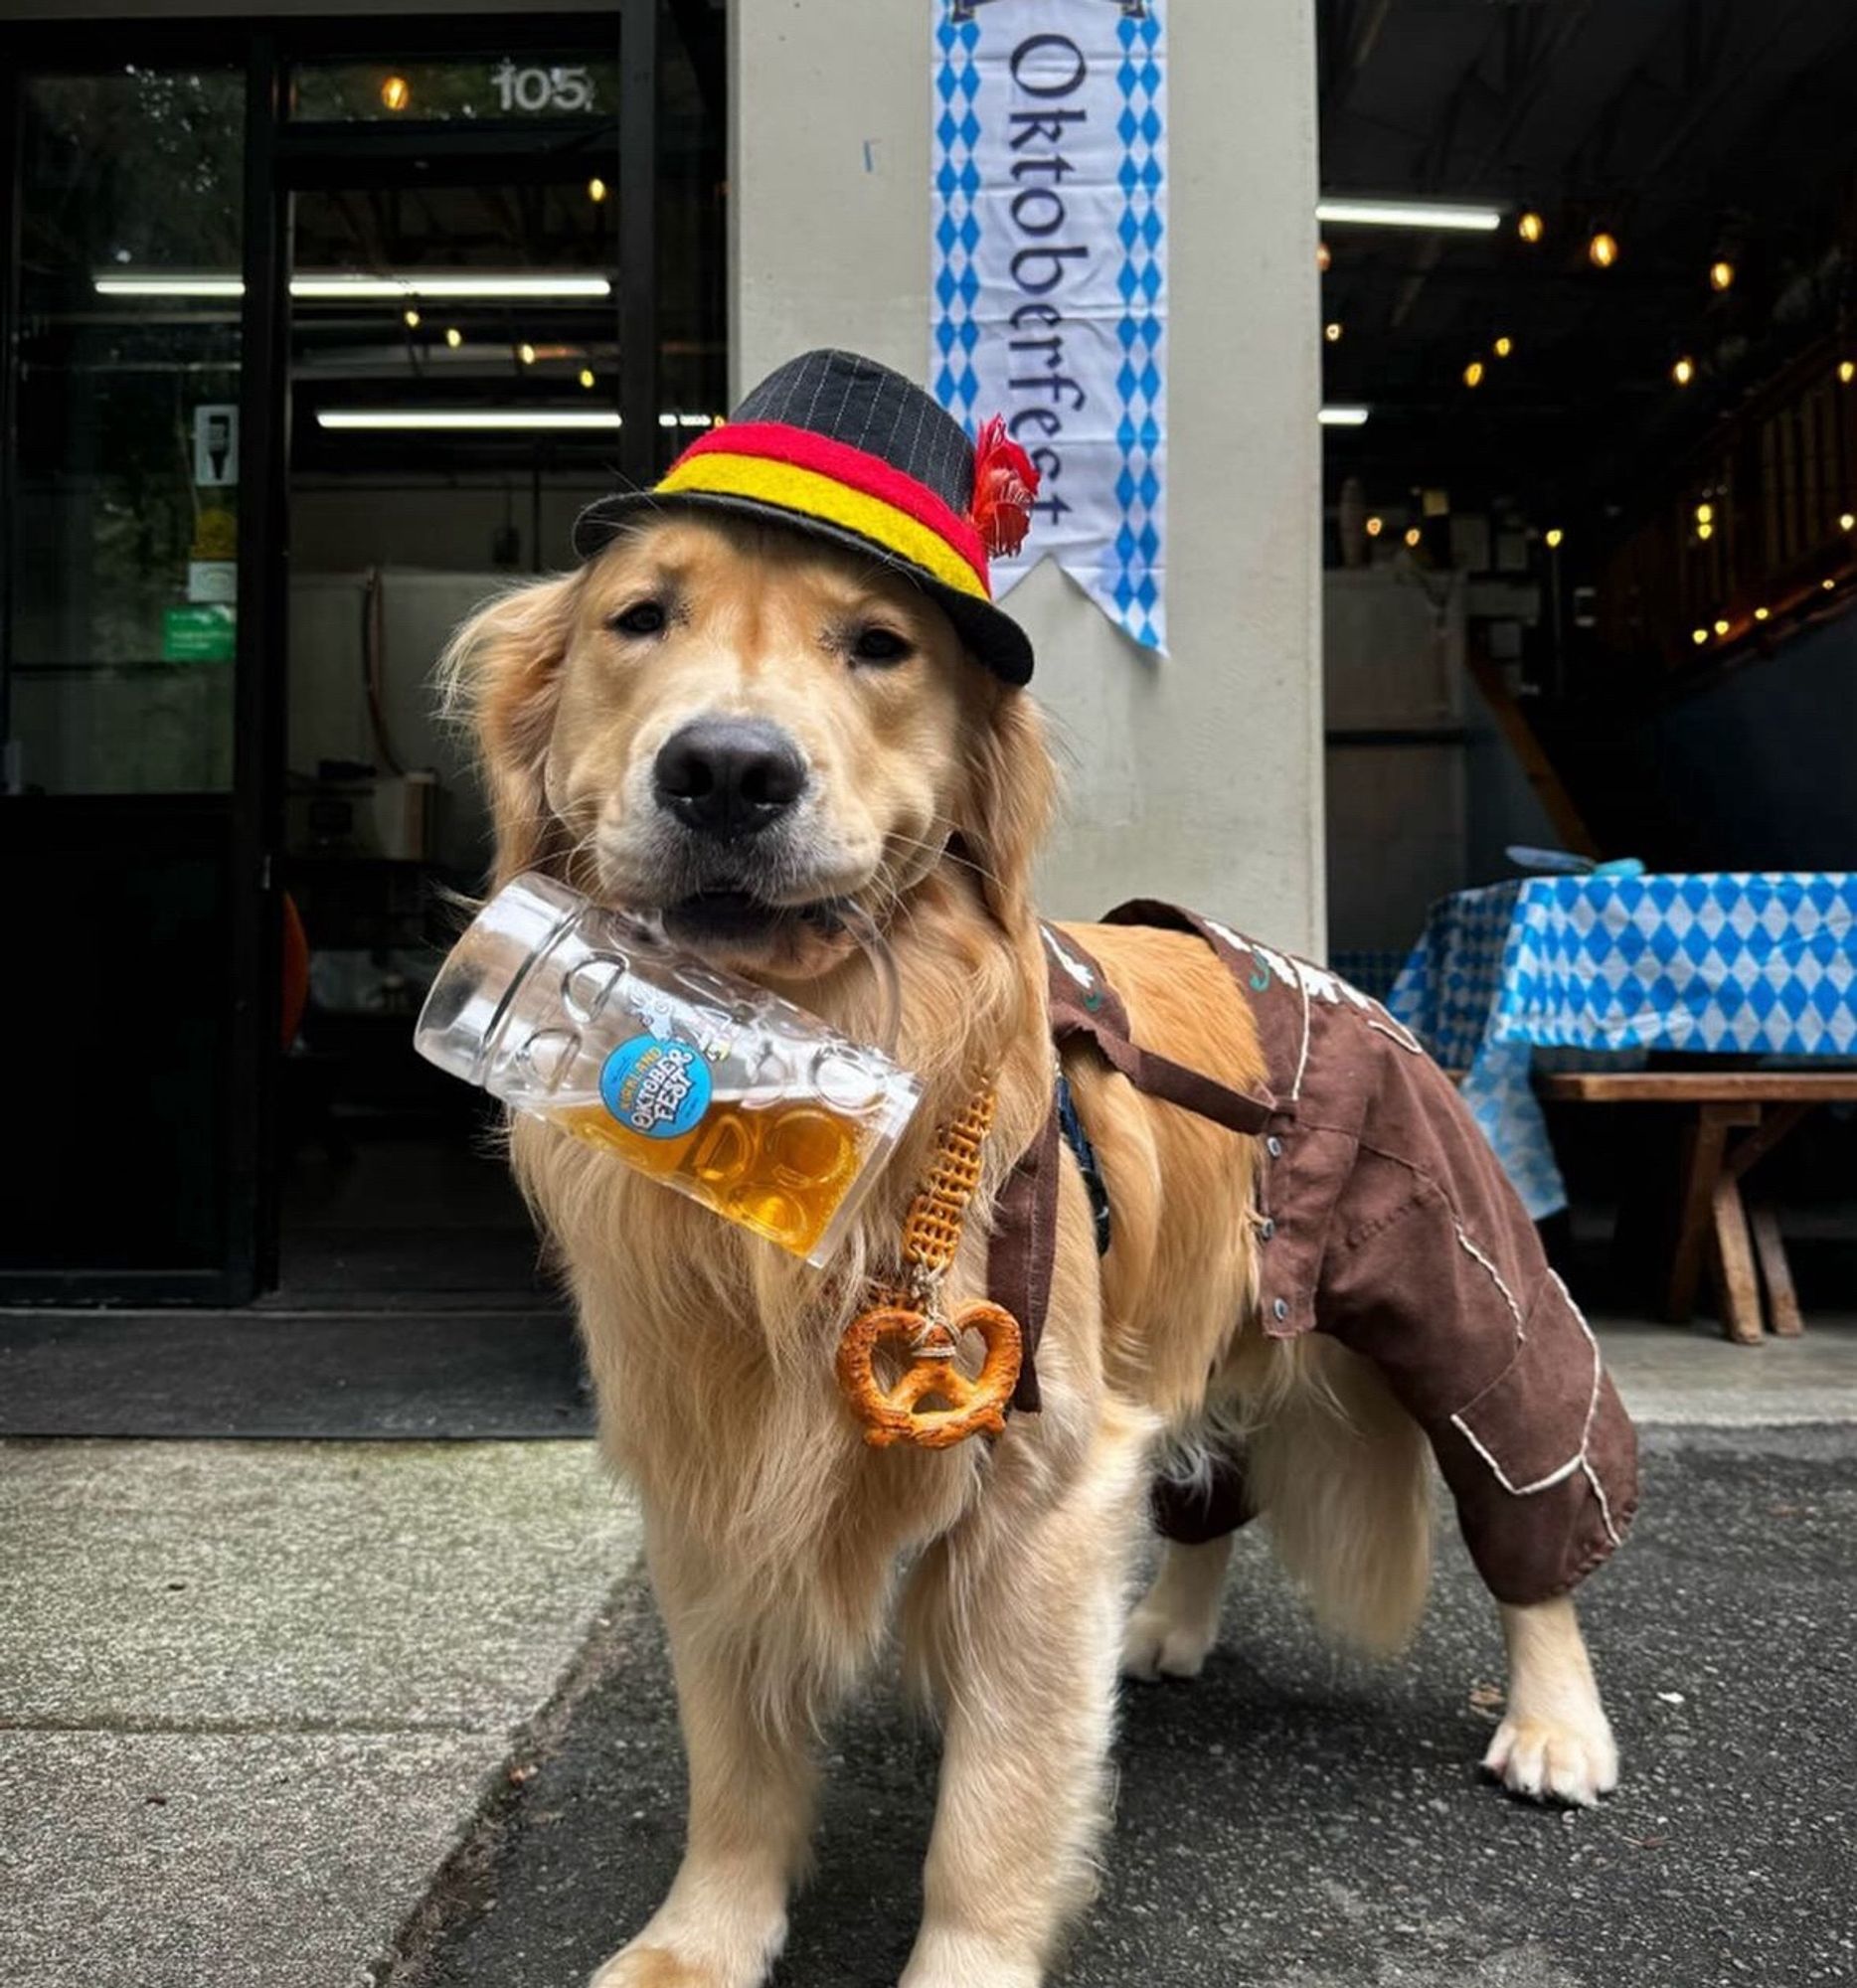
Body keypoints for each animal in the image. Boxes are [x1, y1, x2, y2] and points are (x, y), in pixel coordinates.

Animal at [443, 509, 1622, 1988]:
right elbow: (734, 1749)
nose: (726, 771)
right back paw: (1164, 1624)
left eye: (878, 643)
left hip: (1459, 1289)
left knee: (1530, 1483)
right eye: (639, 618)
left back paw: (1556, 1719)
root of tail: (1342, 981)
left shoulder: (1038, 1479)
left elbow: (997, 1796)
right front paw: (697, 1940)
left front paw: (962, 1960)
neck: (801, 1036)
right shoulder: (709, 1457)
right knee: (1208, 1487)